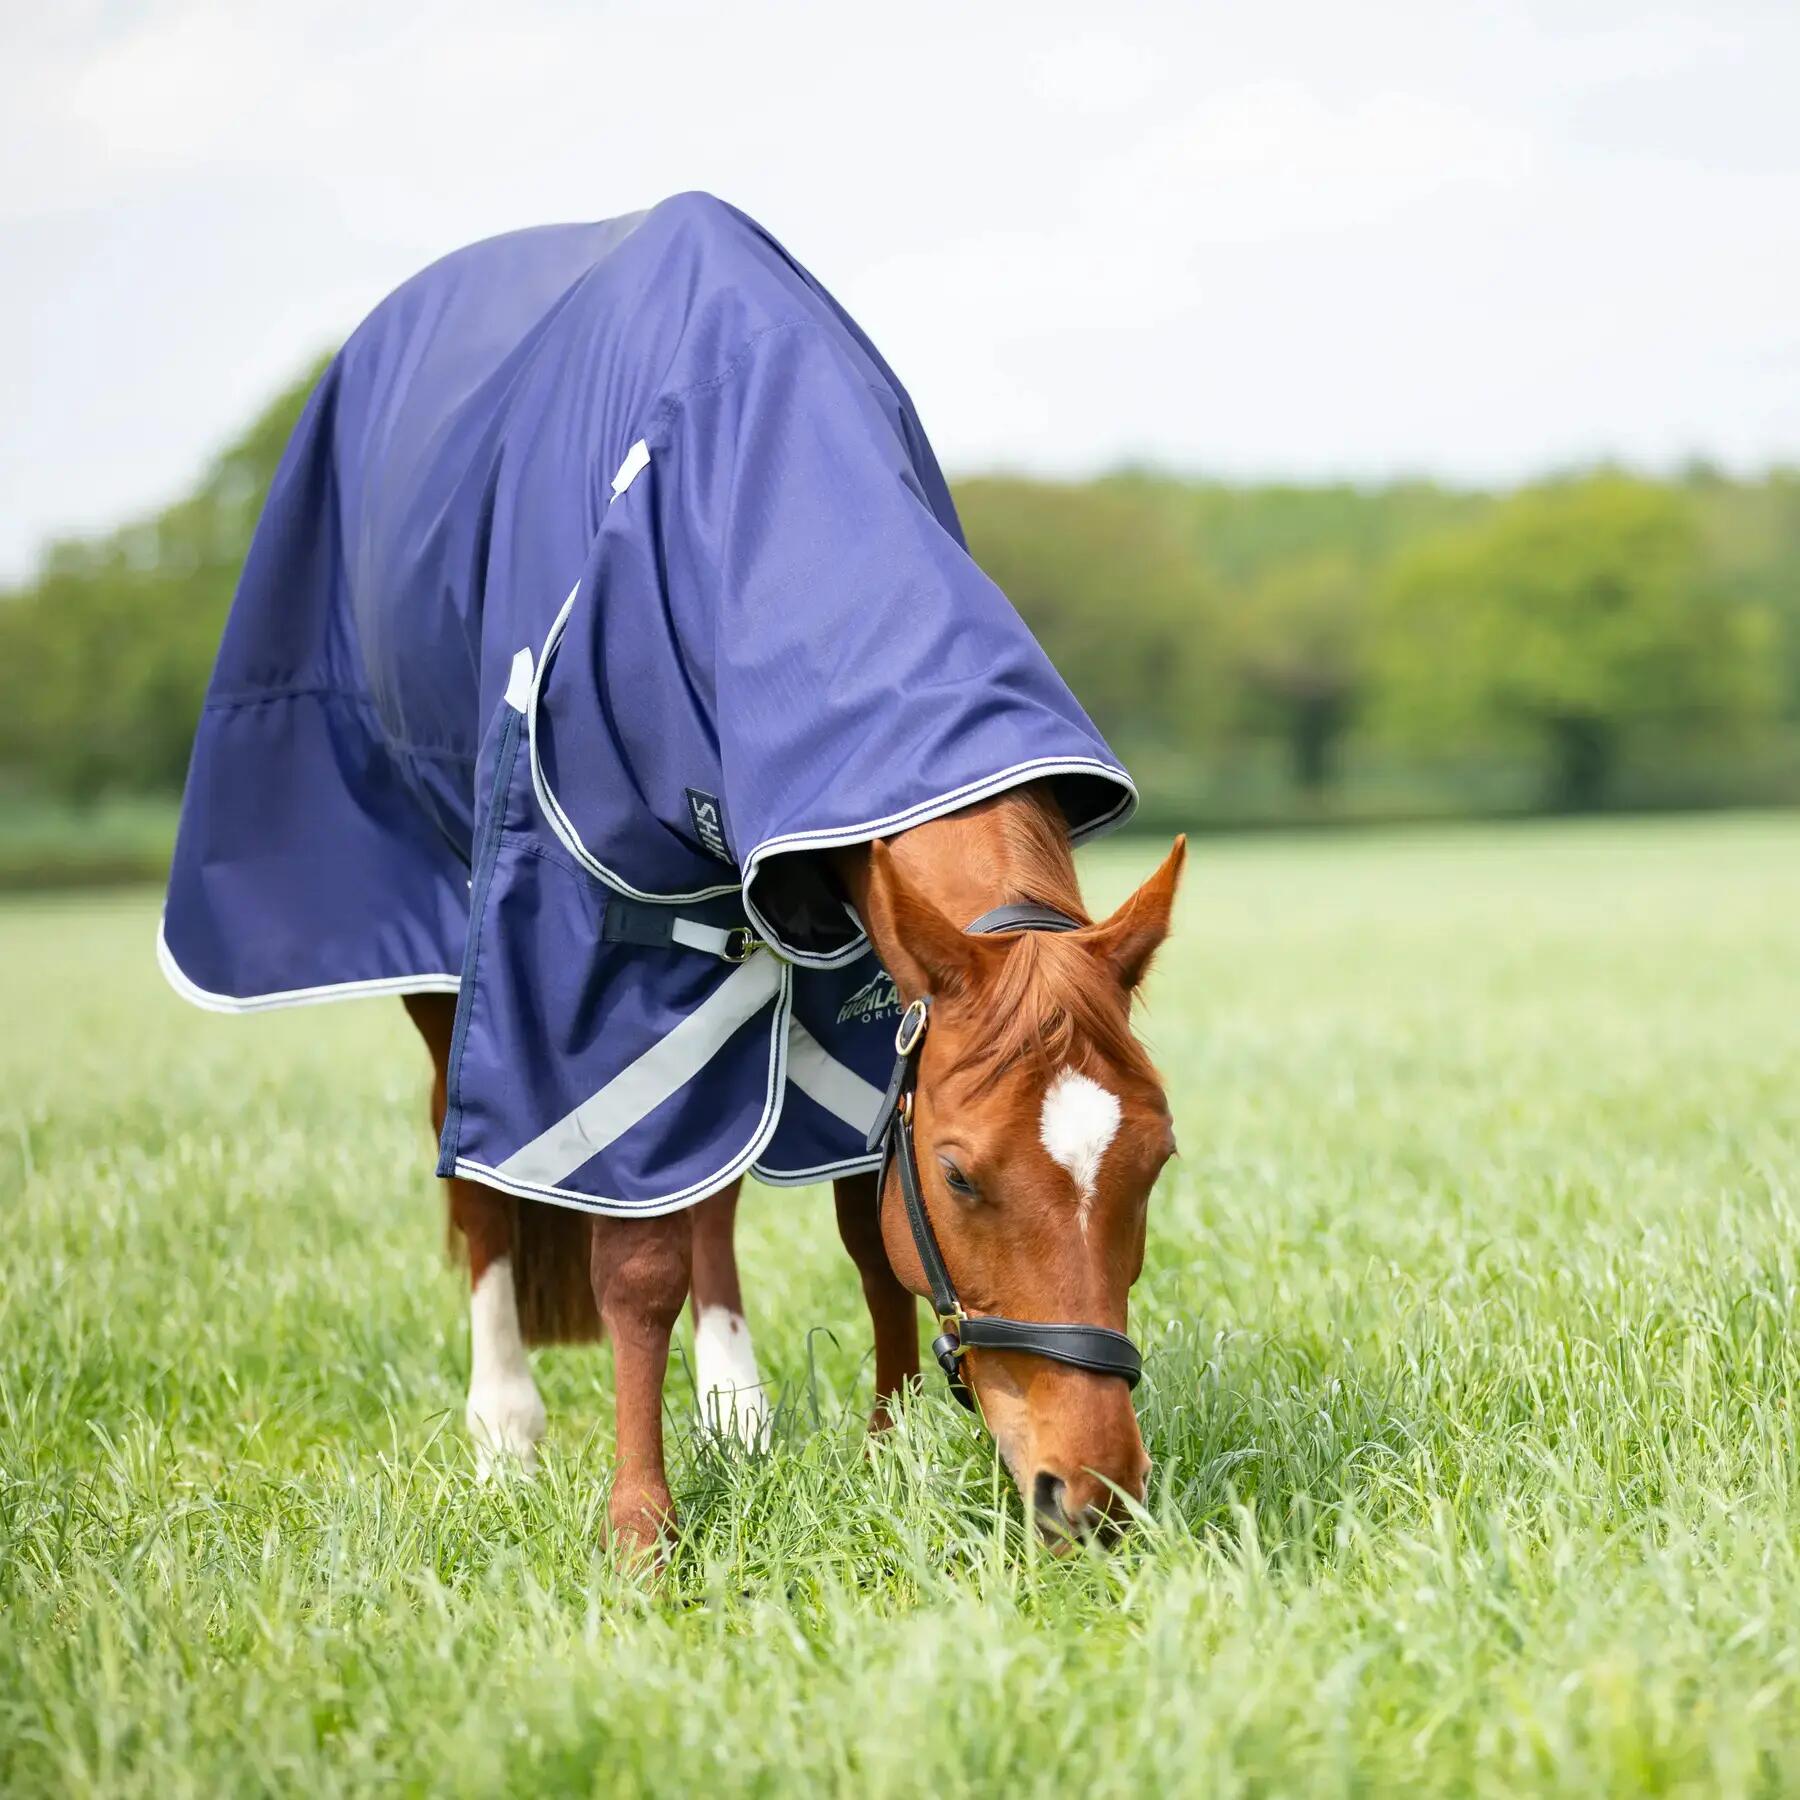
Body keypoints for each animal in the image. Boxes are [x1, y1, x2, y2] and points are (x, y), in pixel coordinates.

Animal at [157, 193, 1183, 1548]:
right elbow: (629, 1255)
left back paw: (732, 1406)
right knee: (481, 1179)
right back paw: (507, 1432)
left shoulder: (853, 951)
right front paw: (640, 1528)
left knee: (707, 1180)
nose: (1095, 1496)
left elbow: (854, 1216)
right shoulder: (578, 949)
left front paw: (887, 1450)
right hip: (447, 952)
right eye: (963, 1177)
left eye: (1153, 1160)